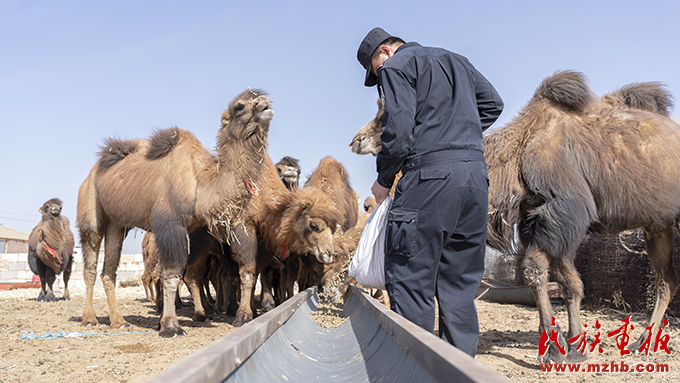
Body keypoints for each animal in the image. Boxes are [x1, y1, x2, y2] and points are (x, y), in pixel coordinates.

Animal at [76, 88, 274, 338]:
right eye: (239, 107)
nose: (265, 104)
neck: (201, 182)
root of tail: (93, 172)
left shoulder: (197, 231)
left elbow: (186, 273)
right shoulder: (171, 225)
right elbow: (171, 275)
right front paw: (171, 326)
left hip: (116, 224)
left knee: (109, 269)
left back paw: (119, 321)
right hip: (90, 205)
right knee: (90, 260)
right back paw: (89, 318)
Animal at [350, 70, 680, 364]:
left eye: (385, 114)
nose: (357, 139)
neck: (518, 152)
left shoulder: (563, 211)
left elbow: (537, 271)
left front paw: (556, 350)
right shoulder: (538, 219)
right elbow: (568, 282)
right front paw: (574, 345)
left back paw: (644, 341)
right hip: (658, 226)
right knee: (666, 280)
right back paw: (643, 341)